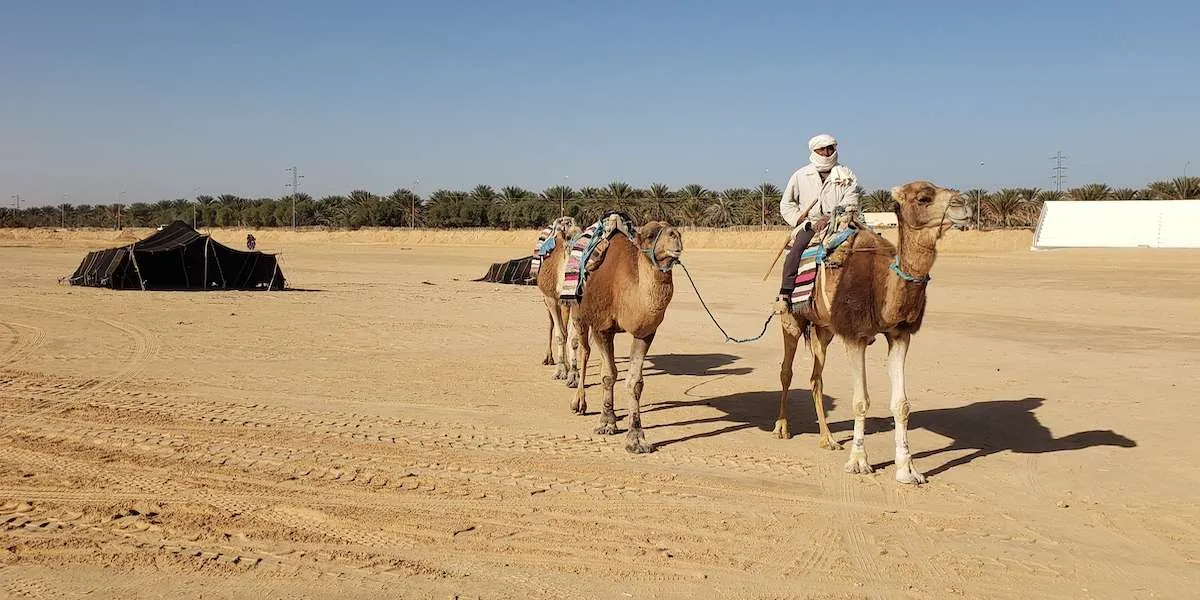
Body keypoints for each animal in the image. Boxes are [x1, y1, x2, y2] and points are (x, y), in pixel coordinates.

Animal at [535, 217, 580, 377]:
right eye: (570, 238)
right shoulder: (551, 299)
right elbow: (560, 335)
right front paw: (560, 370)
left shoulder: (574, 303)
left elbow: (573, 337)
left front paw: (573, 372)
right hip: (546, 299)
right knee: (552, 325)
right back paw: (548, 358)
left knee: (565, 329)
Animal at [569, 221, 683, 453]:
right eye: (650, 235)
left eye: (672, 230)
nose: (676, 235)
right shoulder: (602, 327)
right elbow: (608, 375)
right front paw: (606, 422)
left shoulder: (645, 332)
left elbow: (635, 381)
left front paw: (636, 438)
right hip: (579, 313)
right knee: (584, 351)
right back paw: (579, 402)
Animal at [776, 180, 972, 484]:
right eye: (923, 198)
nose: (964, 205)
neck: (883, 286)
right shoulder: (855, 336)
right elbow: (860, 401)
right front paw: (858, 461)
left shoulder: (900, 334)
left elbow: (901, 404)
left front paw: (907, 470)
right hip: (792, 319)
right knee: (787, 370)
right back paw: (782, 427)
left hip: (824, 328)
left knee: (816, 378)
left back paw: (828, 439)